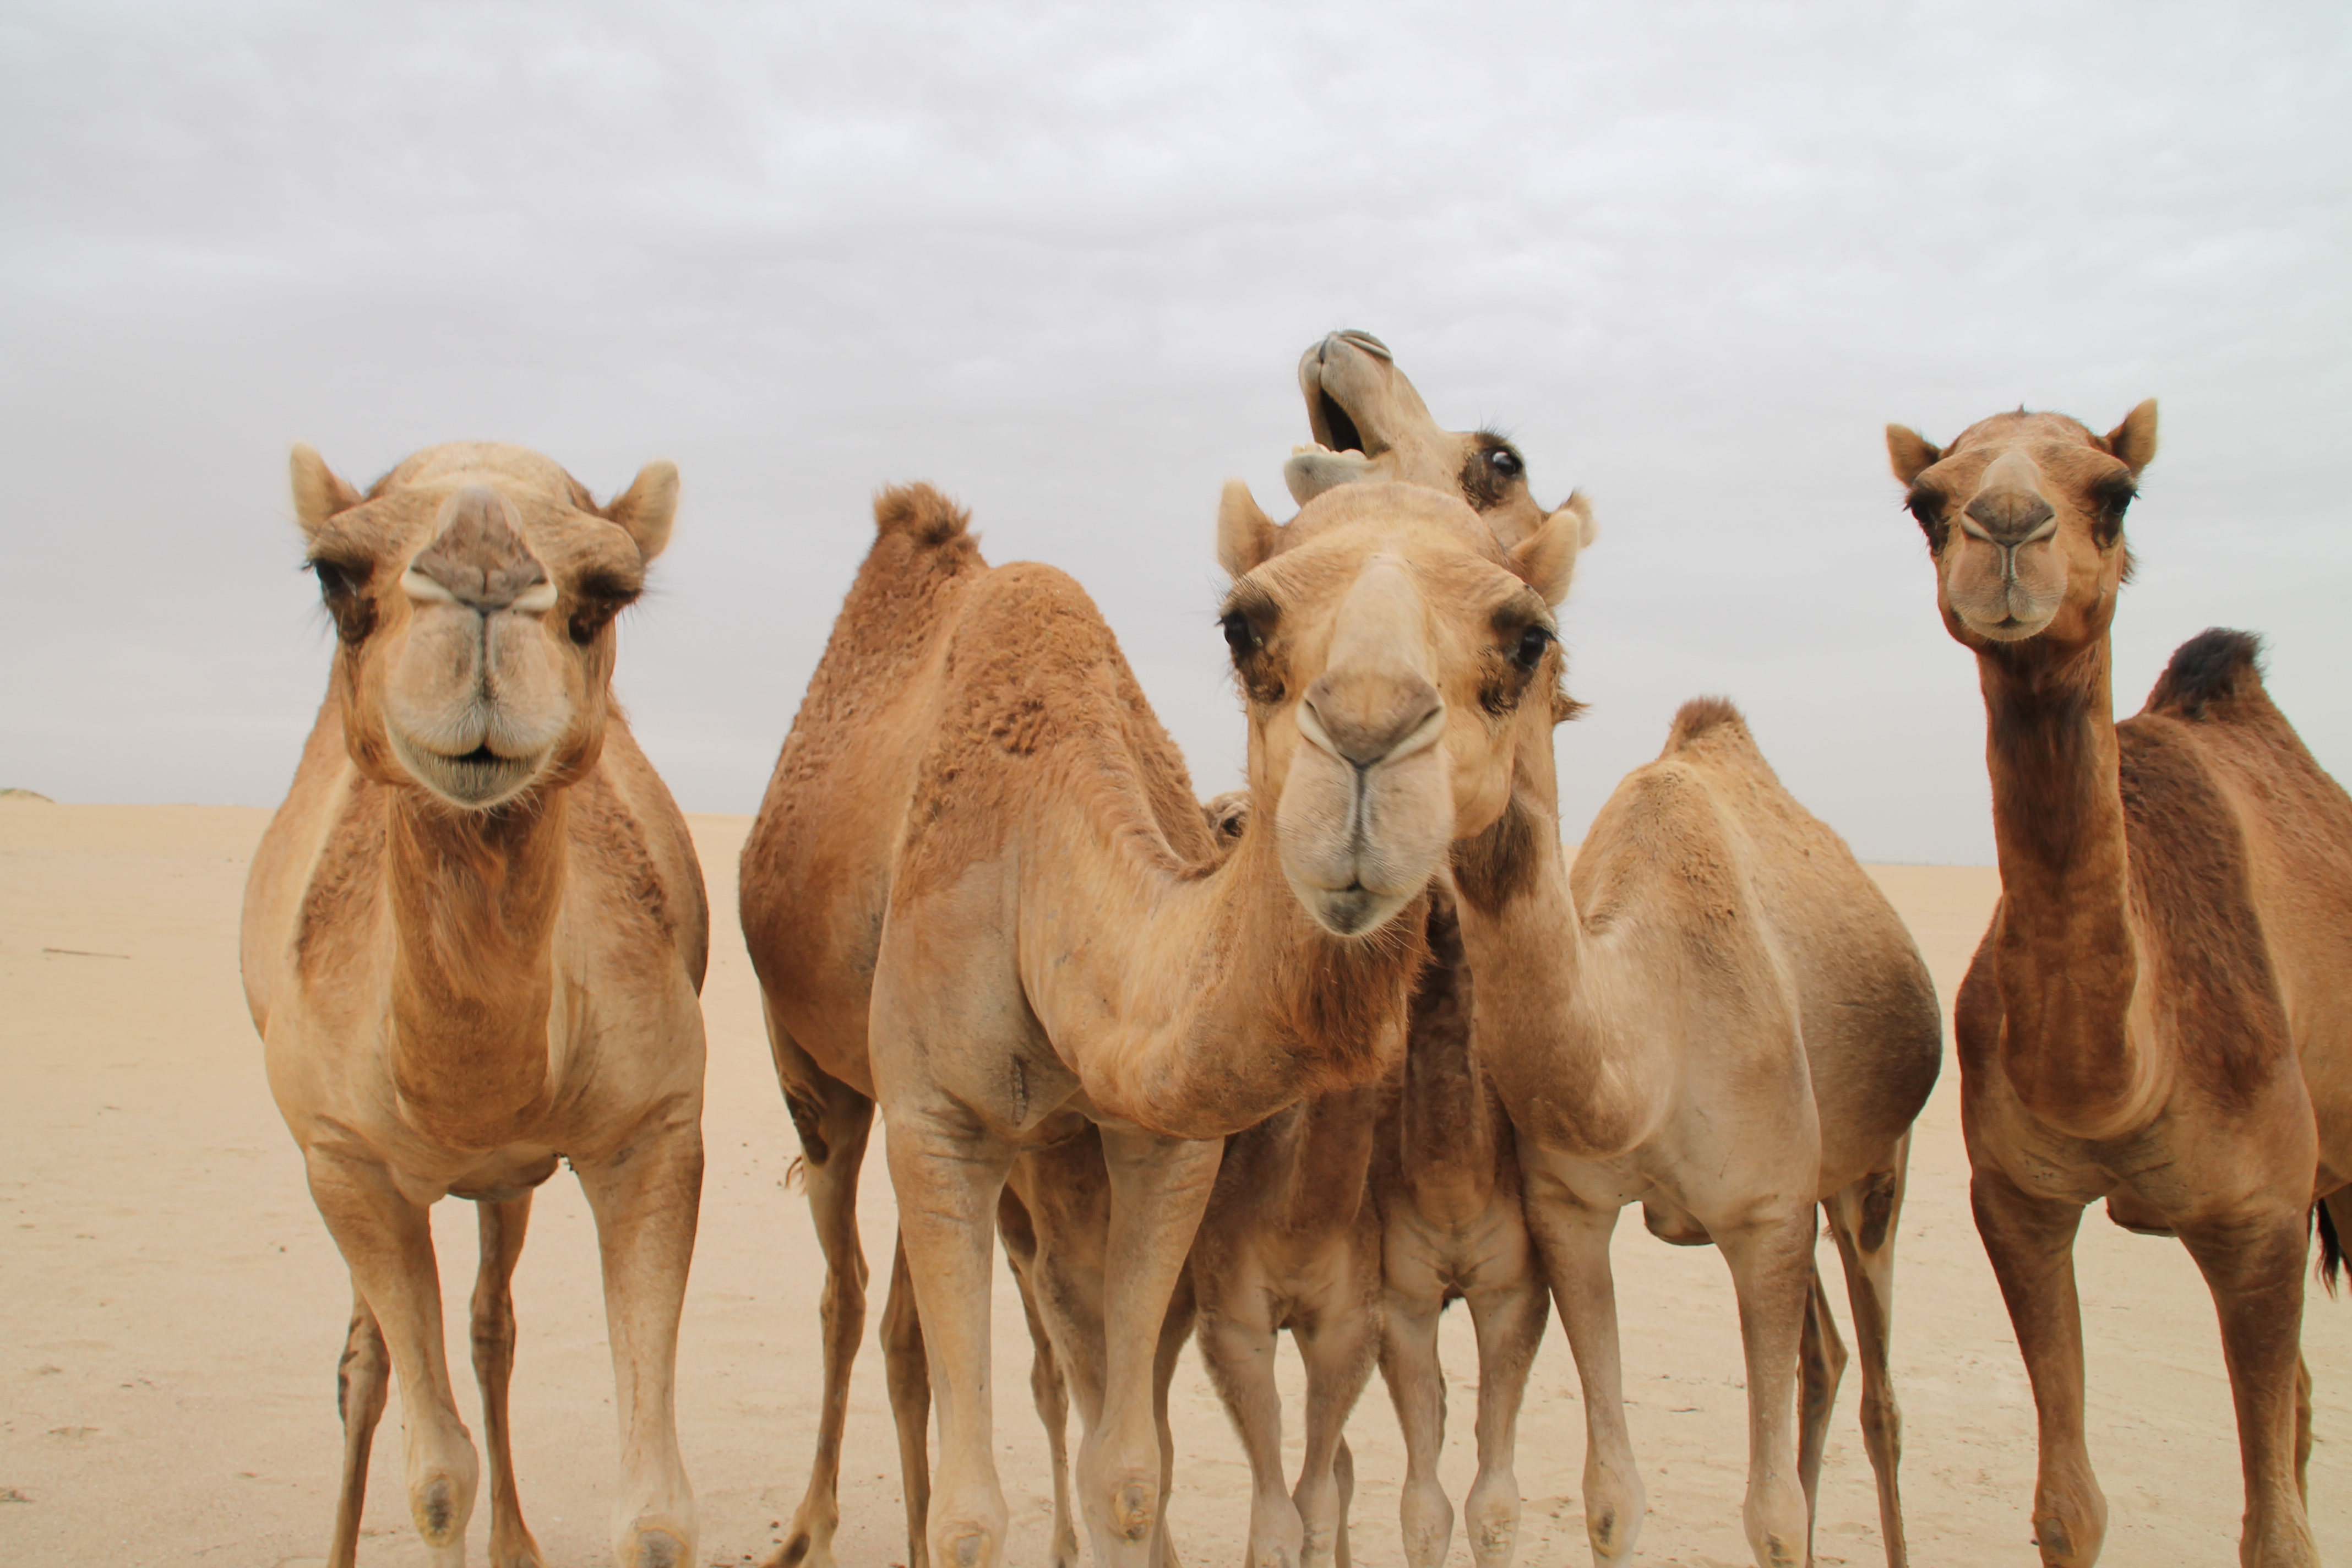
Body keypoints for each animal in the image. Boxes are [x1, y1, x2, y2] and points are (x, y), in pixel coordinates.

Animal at [246, 442, 715, 1568]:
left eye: (608, 591)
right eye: (335, 579)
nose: (484, 568)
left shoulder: (653, 1131)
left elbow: (655, 1510)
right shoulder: (346, 1161)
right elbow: (435, 1477)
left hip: (505, 1180)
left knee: (490, 1324)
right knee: (366, 1365)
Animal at [1891, 409, 2352, 1568]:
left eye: (2116, 491)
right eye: (1926, 502)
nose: (2008, 527)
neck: (2124, 1075)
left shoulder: (2261, 1217)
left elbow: (2275, 1535)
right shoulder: (2017, 1201)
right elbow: (2069, 1504)